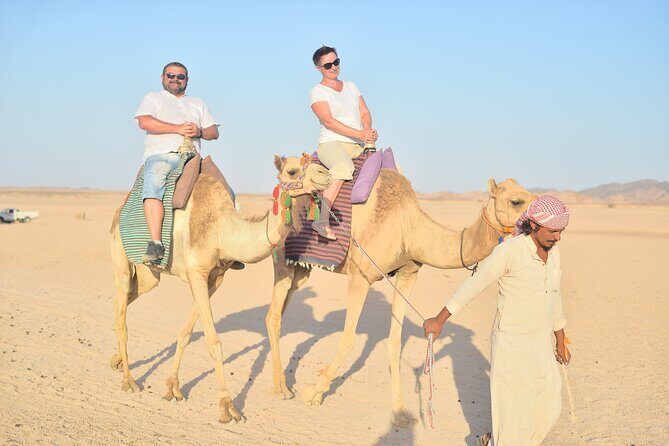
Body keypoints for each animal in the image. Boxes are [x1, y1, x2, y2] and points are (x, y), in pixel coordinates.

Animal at [109, 153, 331, 423]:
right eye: (291, 170)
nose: (325, 174)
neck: (220, 230)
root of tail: (120, 210)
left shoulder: (215, 279)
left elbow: (186, 333)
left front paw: (173, 387)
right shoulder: (196, 274)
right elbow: (214, 342)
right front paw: (228, 406)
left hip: (149, 274)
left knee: (126, 299)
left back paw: (116, 360)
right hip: (120, 255)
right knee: (122, 312)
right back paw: (129, 380)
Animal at [265, 170, 534, 426]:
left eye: (532, 195)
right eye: (516, 201)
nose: (538, 222)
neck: (408, 229)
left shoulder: (408, 274)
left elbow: (394, 343)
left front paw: (401, 412)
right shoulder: (360, 276)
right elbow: (348, 340)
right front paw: (314, 392)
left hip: (301, 269)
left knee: (278, 311)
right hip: (283, 257)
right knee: (274, 316)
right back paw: (280, 389)